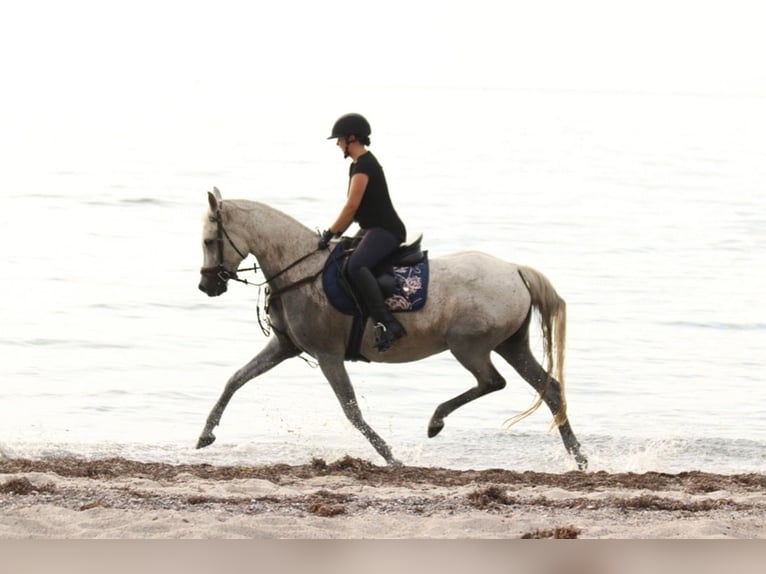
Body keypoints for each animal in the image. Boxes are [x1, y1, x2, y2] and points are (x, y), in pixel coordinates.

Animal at [197, 187, 587, 470]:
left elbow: (351, 410)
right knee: (550, 389)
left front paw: (389, 455)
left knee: (493, 381)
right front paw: (205, 435)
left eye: (208, 241)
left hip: (469, 346)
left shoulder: (327, 355)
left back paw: (436, 421)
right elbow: (236, 379)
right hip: (511, 345)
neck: (300, 270)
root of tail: (515, 270)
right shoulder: (284, 347)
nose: (206, 286)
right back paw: (579, 456)